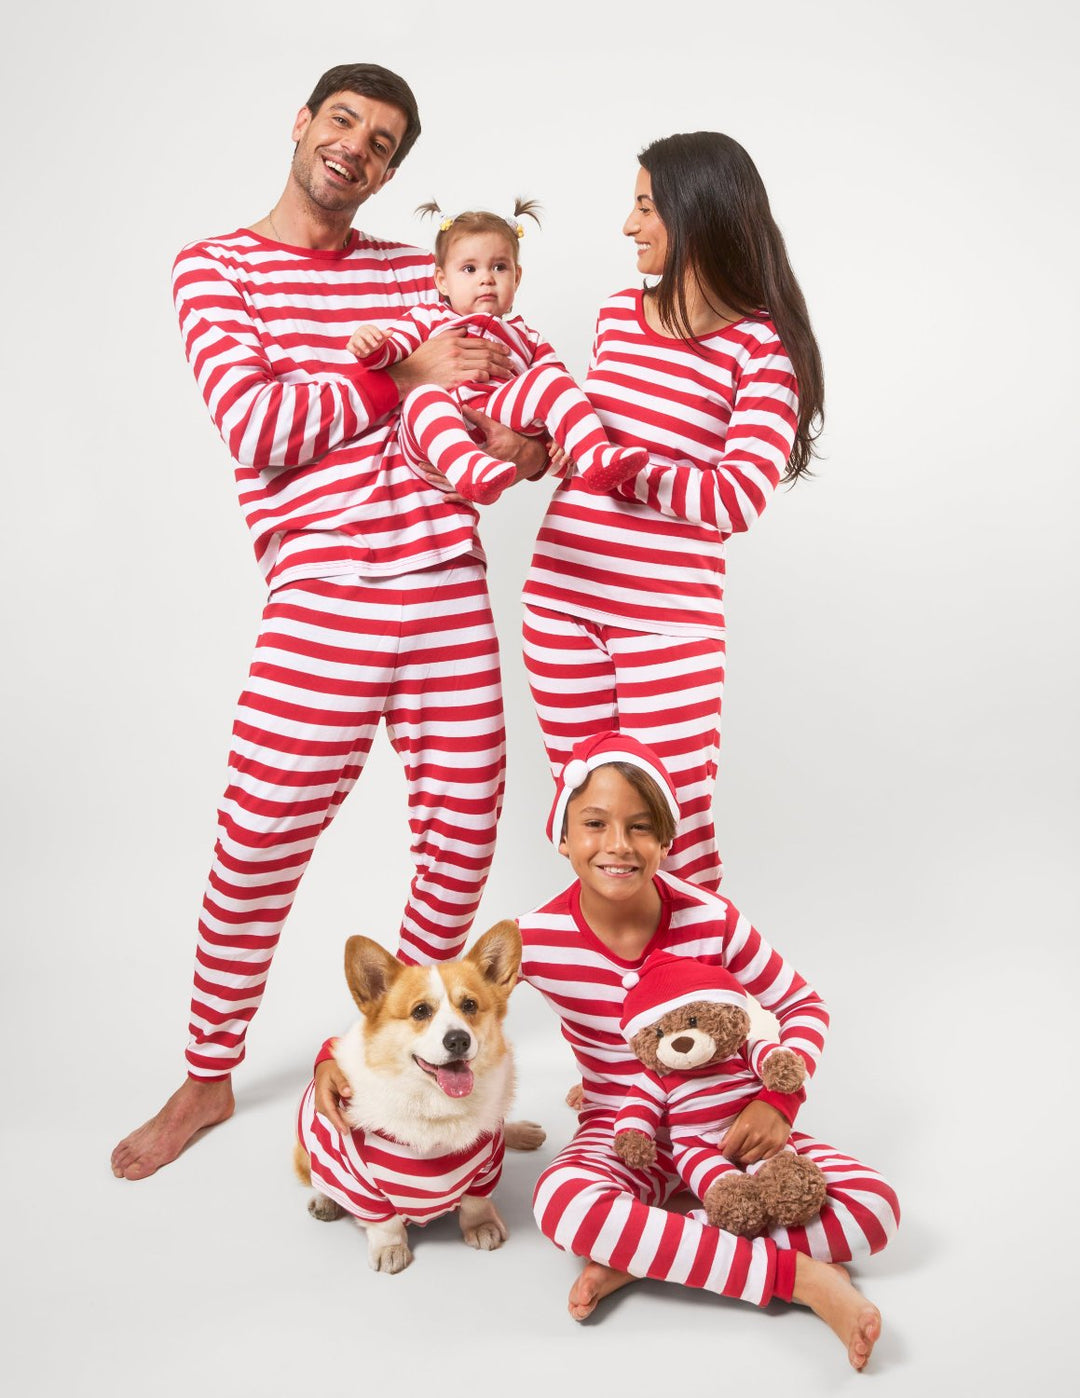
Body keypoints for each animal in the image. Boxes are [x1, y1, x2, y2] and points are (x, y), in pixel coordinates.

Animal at [294, 922, 533, 1274]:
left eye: (470, 1006)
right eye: (421, 1011)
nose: (458, 1040)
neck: (436, 1107)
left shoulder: (486, 1169)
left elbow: (476, 1203)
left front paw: (481, 1227)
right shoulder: (362, 1185)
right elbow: (386, 1222)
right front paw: (391, 1249)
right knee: (317, 1176)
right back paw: (325, 1201)